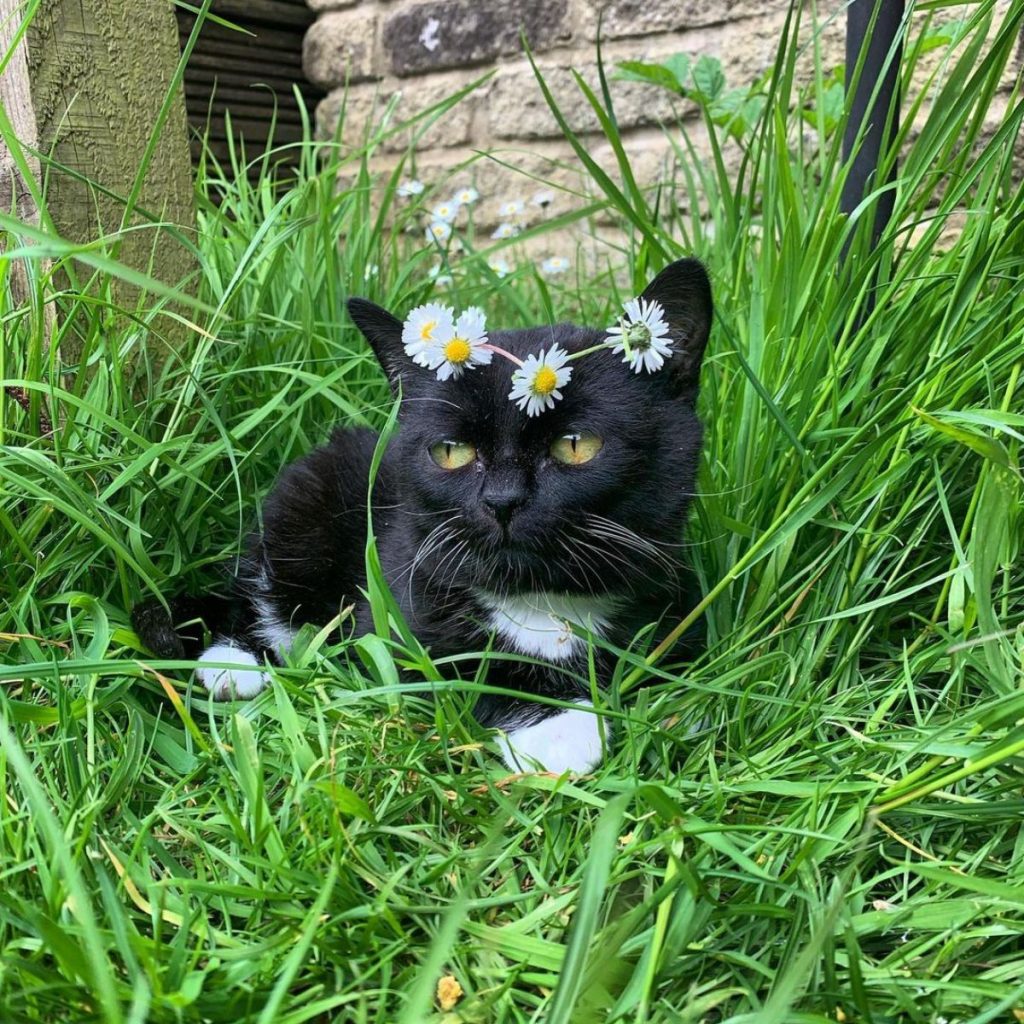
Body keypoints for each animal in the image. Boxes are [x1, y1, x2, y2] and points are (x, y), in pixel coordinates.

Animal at [134, 258, 712, 774]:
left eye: (575, 445)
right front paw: (556, 728)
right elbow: (448, 668)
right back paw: (232, 661)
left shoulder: (678, 611)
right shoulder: (395, 609)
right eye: (450, 452)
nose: (502, 500)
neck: (541, 601)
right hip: (299, 511)